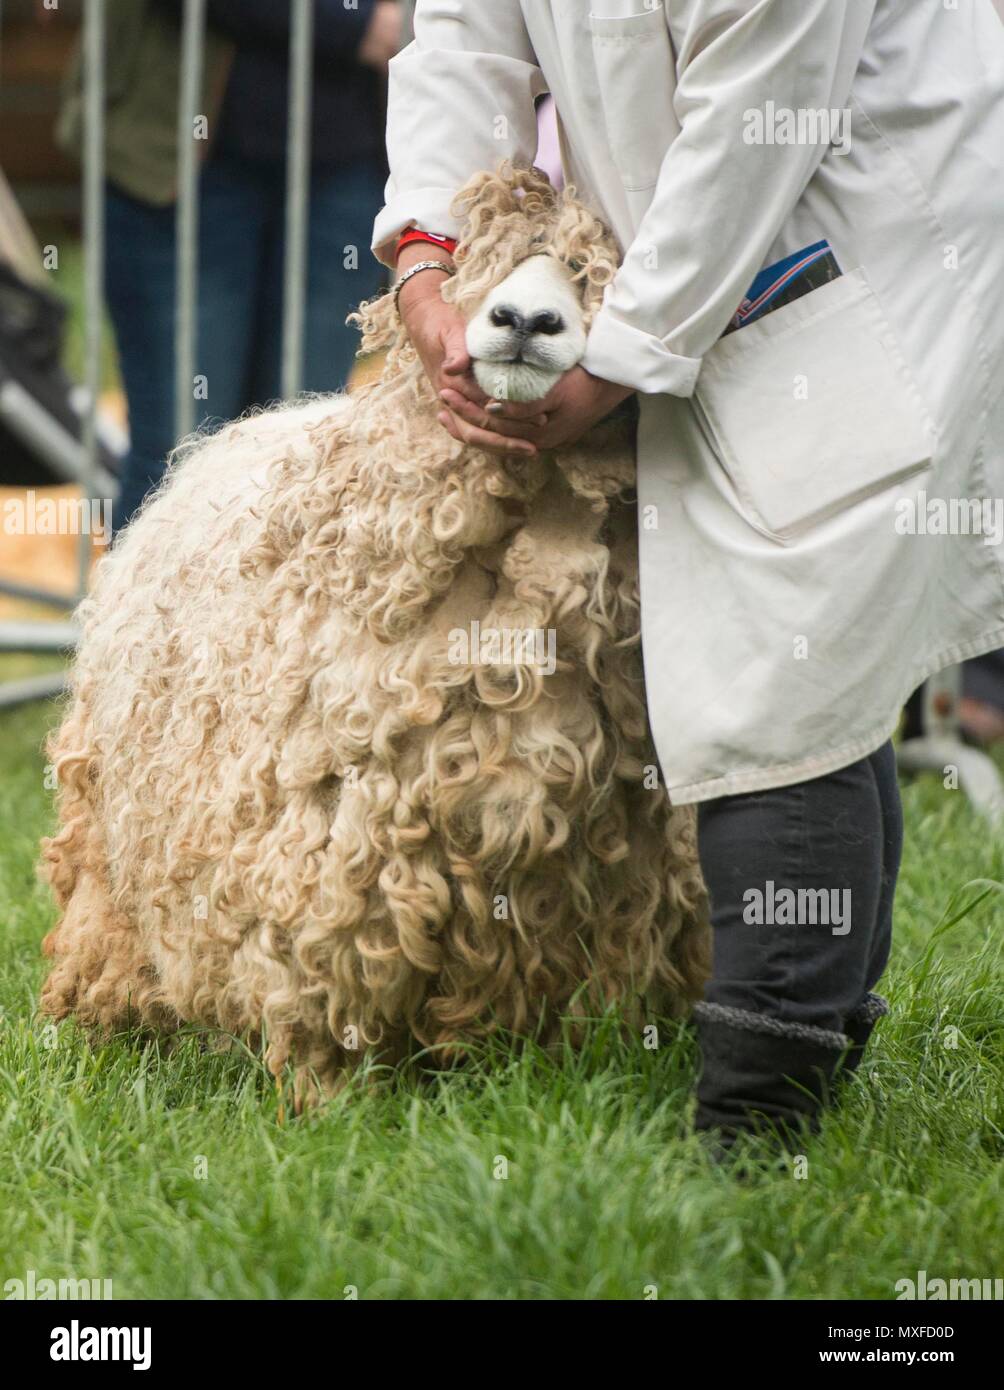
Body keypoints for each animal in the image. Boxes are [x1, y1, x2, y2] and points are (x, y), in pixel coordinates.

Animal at [37, 165, 703, 1095]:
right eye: (475, 267)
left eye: (590, 276)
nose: (523, 323)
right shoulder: (335, 839)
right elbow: (325, 974)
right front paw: (326, 1095)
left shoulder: (618, 867)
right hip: (109, 836)